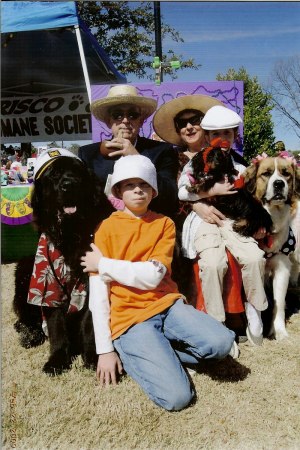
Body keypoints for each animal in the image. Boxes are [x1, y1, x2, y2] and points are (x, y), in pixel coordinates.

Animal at [13, 149, 113, 374]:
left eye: (77, 173)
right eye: (54, 175)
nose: (69, 184)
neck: (70, 235)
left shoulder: (88, 282)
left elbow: (90, 323)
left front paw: (93, 357)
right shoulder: (47, 283)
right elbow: (56, 326)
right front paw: (57, 360)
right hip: (25, 268)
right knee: (27, 316)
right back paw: (29, 334)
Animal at [244, 156, 300, 342]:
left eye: (286, 173)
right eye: (266, 174)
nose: (279, 184)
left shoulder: (282, 267)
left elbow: (278, 302)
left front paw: (279, 331)